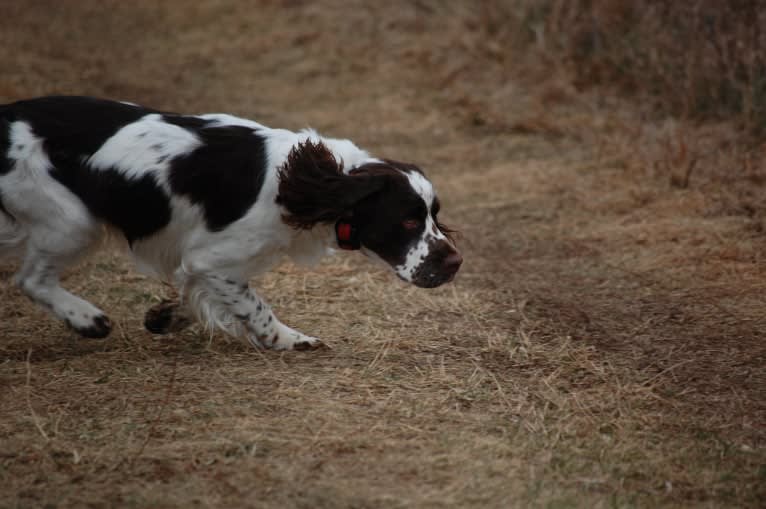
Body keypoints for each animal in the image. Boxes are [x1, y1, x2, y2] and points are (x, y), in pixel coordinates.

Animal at [0, 95, 462, 350]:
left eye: (434, 215)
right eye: (407, 221)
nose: (455, 263)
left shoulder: (205, 266)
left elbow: (195, 295)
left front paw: (164, 317)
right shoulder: (213, 260)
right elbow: (255, 307)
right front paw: (292, 340)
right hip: (73, 219)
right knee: (31, 279)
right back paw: (88, 320)